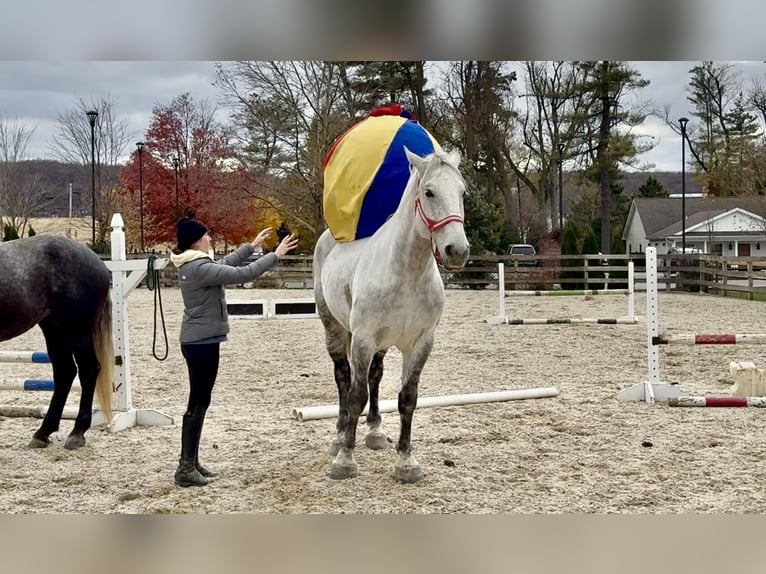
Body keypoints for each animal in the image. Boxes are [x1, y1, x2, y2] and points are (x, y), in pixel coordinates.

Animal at [0, 235, 114, 449]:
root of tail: (98, 262)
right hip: (54, 329)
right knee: (65, 372)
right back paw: (43, 432)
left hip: (78, 332)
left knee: (88, 370)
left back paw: (77, 433)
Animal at [313, 147, 470, 483]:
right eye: (429, 192)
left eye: (462, 192)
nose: (457, 251)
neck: (407, 274)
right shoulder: (362, 341)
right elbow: (356, 395)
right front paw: (345, 460)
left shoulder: (420, 344)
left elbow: (407, 399)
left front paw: (406, 462)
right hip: (335, 330)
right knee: (343, 378)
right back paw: (340, 436)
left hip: (382, 345)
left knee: (375, 375)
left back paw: (374, 432)